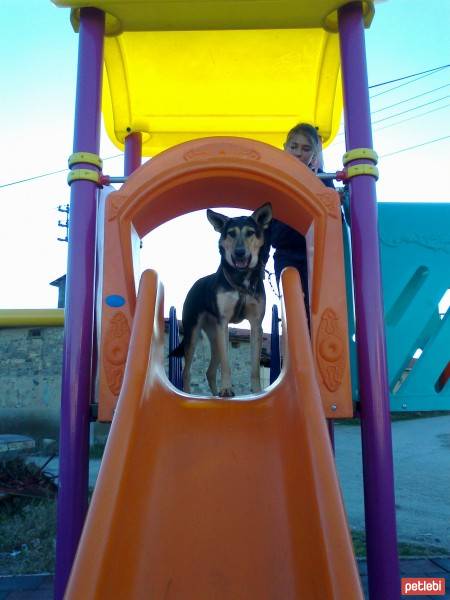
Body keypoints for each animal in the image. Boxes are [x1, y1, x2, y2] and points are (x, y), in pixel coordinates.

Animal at [171, 204, 270, 396]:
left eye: (250, 233)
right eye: (230, 233)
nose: (239, 252)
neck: (240, 279)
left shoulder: (256, 325)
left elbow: (255, 366)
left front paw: (256, 391)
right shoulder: (223, 322)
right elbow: (226, 364)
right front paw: (226, 389)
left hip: (214, 335)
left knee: (209, 371)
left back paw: (215, 394)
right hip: (194, 334)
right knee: (187, 371)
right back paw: (189, 393)